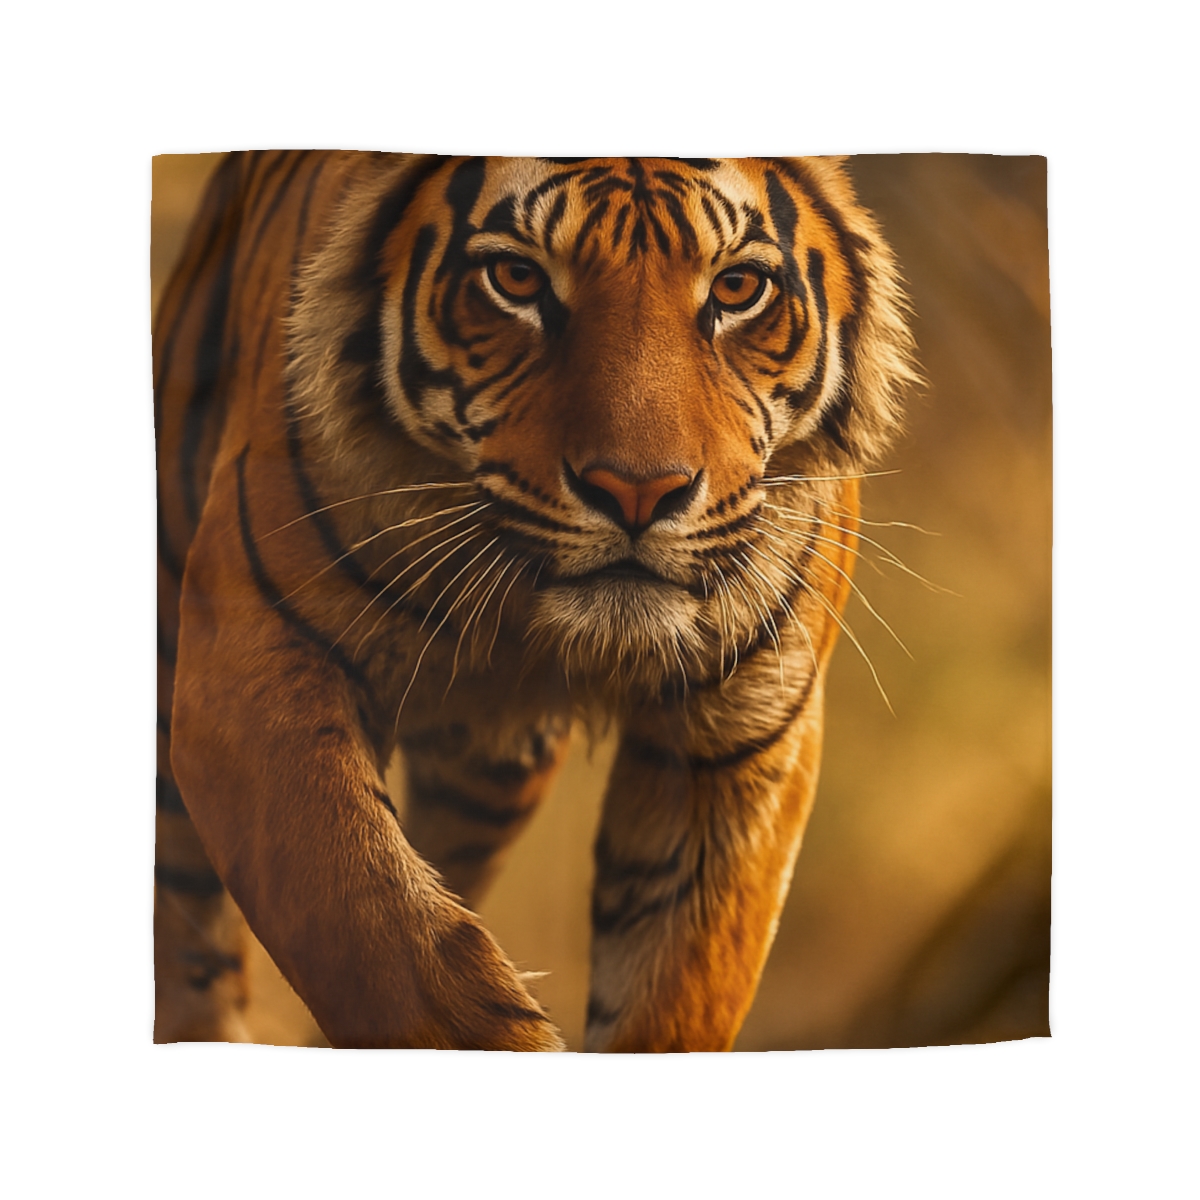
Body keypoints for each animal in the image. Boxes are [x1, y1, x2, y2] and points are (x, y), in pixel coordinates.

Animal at [154, 152, 916, 1051]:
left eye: (736, 288)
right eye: (516, 278)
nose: (637, 492)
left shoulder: (741, 738)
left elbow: (674, 997)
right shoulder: (250, 673)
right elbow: (383, 938)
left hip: (491, 778)